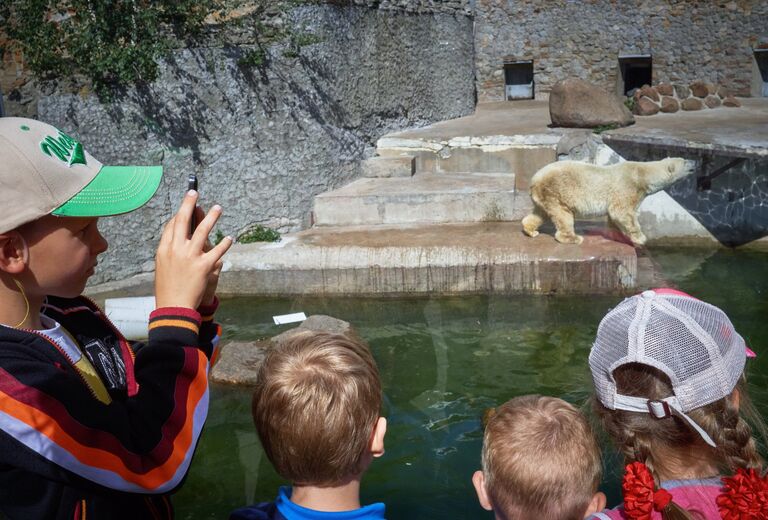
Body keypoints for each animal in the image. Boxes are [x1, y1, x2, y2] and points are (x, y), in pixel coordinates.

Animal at [520, 157, 696, 247]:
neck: (642, 174)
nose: (695, 162)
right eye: (685, 161)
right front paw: (641, 238)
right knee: (563, 216)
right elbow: (622, 213)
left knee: (540, 213)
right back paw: (574, 238)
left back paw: (530, 230)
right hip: (557, 191)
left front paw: (619, 236)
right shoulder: (627, 188)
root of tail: (534, 180)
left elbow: (614, 217)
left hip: (545, 197)